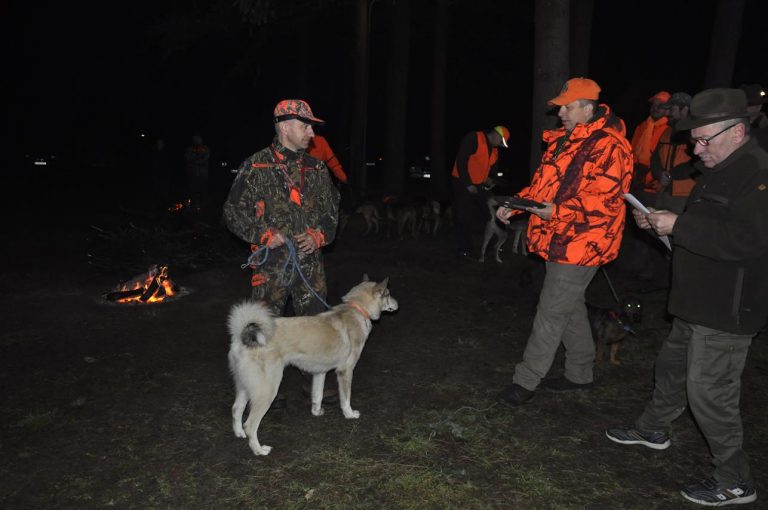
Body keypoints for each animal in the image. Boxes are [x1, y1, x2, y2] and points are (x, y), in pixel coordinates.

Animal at [226, 276, 396, 456]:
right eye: (388, 294)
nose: (397, 304)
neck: (357, 309)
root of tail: (242, 336)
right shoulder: (345, 371)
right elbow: (345, 398)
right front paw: (349, 414)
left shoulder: (319, 372)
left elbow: (317, 395)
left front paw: (316, 412)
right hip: (267, 390)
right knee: (250, 424)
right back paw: (259, 450)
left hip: (245, 386)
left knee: (236, 409)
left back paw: (239, 433)